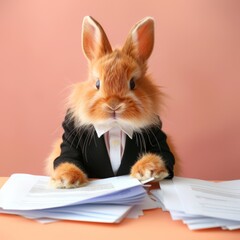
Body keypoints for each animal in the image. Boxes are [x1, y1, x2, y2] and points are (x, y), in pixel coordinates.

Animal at [46, 15, 175, 188]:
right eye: (97, 83)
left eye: (132, 83)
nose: (113, 105)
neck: (114, 126)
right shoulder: (69, 136)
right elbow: (66, 157)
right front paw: (65, 178)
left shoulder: (157, 134)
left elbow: (165, 154)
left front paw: (148, 170)